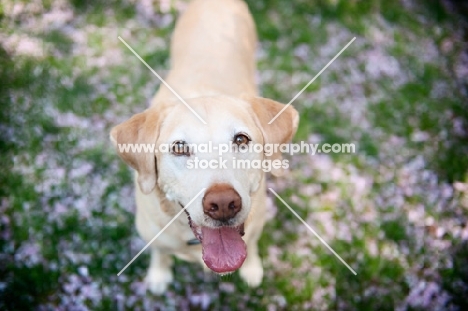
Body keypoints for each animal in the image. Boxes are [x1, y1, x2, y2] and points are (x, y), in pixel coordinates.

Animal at [110, 0, 296, 294]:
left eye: (241, 140)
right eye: (179, 148)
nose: (223, 204)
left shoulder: (257, 223)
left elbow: (253, 243)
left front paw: (252, 268)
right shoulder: (152, 233)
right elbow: (160, 252)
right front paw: (158, 275)